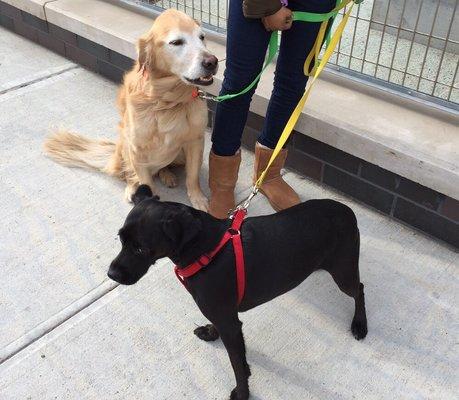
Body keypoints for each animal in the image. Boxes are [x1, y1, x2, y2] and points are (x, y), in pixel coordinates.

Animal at [107, 185, 366, 400]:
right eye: (120, 239)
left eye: (141, 249)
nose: (111, 274)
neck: (205, 250)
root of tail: (349, 212)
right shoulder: (222, 314)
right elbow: (218, 329)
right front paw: (210, 333)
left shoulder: (230, 325)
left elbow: (238, 366)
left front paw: (242, 394)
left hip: (343, 272)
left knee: (359, 290)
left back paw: (360, 325)